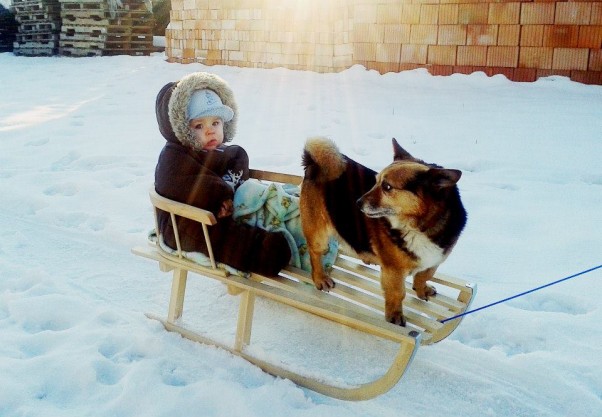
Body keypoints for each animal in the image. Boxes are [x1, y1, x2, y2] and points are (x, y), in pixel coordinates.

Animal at [298, 136, 464, 324]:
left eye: (387, 187)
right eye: (376, 181)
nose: (357, 203)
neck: (420, 227)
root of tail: (313, 162)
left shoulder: (435, 260)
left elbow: (424, 275)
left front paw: (422, 290)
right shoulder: (394, 271)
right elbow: (398, 294)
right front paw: (395, 317)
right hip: (318, 235)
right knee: (315, 254)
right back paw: (320, 278)